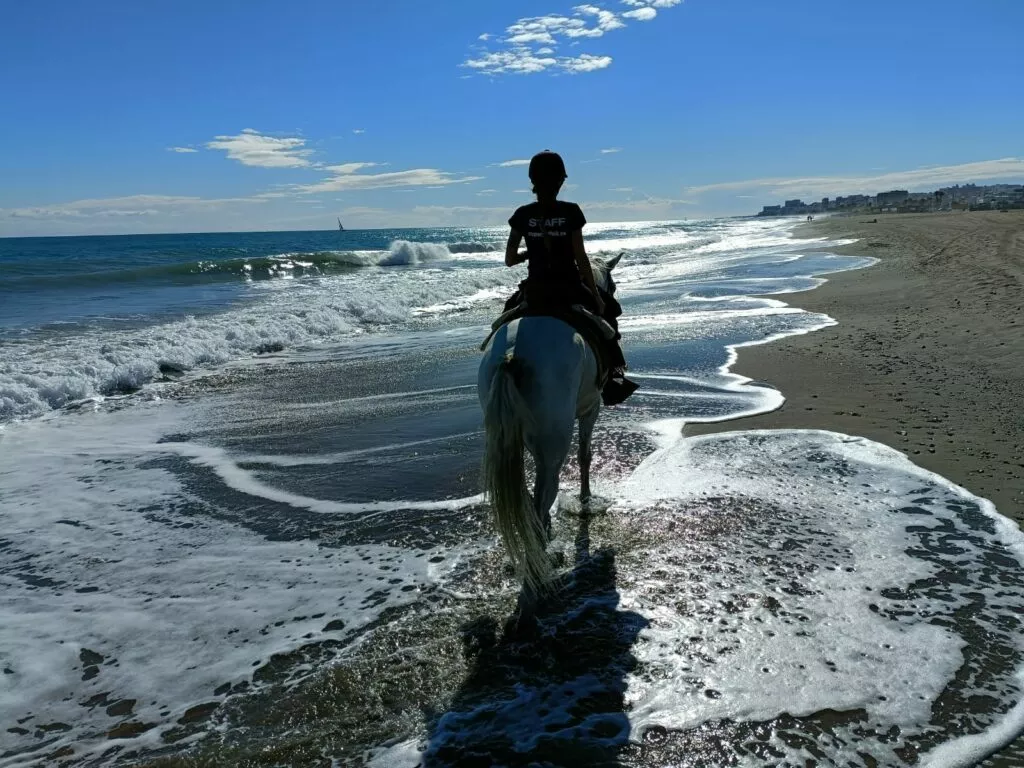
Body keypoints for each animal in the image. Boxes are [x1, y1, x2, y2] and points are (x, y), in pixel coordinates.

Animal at [475, 256, 618, 598]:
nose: (613, 308)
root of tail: (511, 355)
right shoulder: (591, 408)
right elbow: (585, 455)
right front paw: (585, 499)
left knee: (530, 496)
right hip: (554, 445)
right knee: (543, 495)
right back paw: (541, 563)